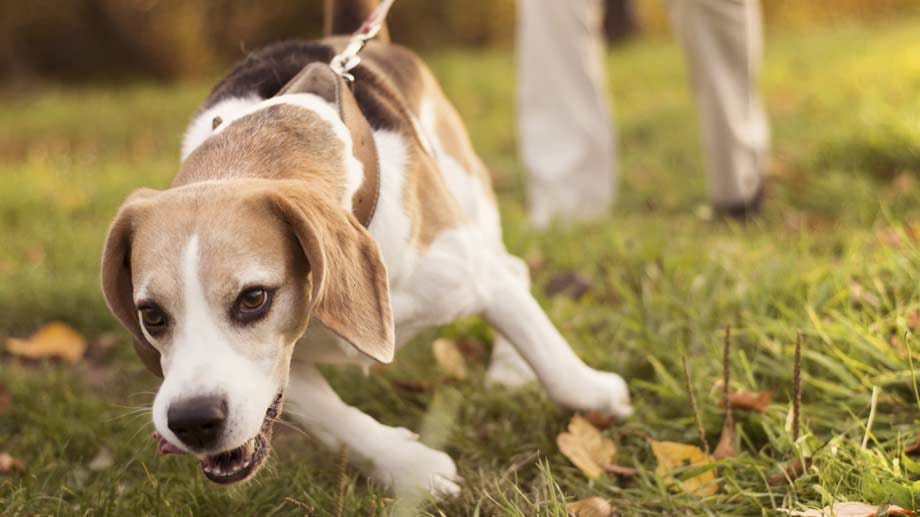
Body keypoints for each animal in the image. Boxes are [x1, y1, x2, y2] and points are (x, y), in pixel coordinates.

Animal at [100, 1, 632, 500]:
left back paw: (509, 367)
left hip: (470, 201)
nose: (191, 420)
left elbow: (553, 362)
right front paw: (410, 468)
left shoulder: (474, 276)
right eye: (151, 316)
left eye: (253, 299)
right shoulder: (285, 366)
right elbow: (334, 420)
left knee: (515, 267)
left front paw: (600, 397)